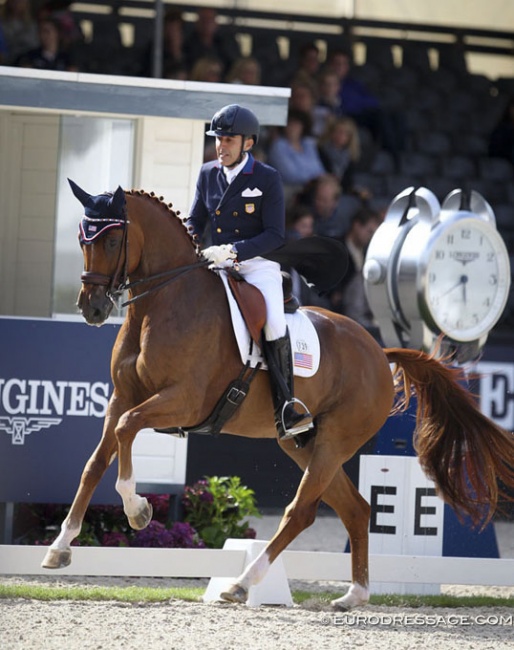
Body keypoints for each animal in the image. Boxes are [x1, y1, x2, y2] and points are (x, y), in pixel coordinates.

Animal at [41, 184, 512, 608]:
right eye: (83, 239)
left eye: (113, 239)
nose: (92, 308)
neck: (162, 303)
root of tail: (380, 352)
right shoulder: (122, 398)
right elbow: (94, 464)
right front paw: (60, 548)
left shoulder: (183, 400)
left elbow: (126, 430)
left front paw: (137, 509)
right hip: (303, 444)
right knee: (356, 509)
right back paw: (354, 595)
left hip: (335, 440)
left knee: (301, 511)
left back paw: (242, 584)